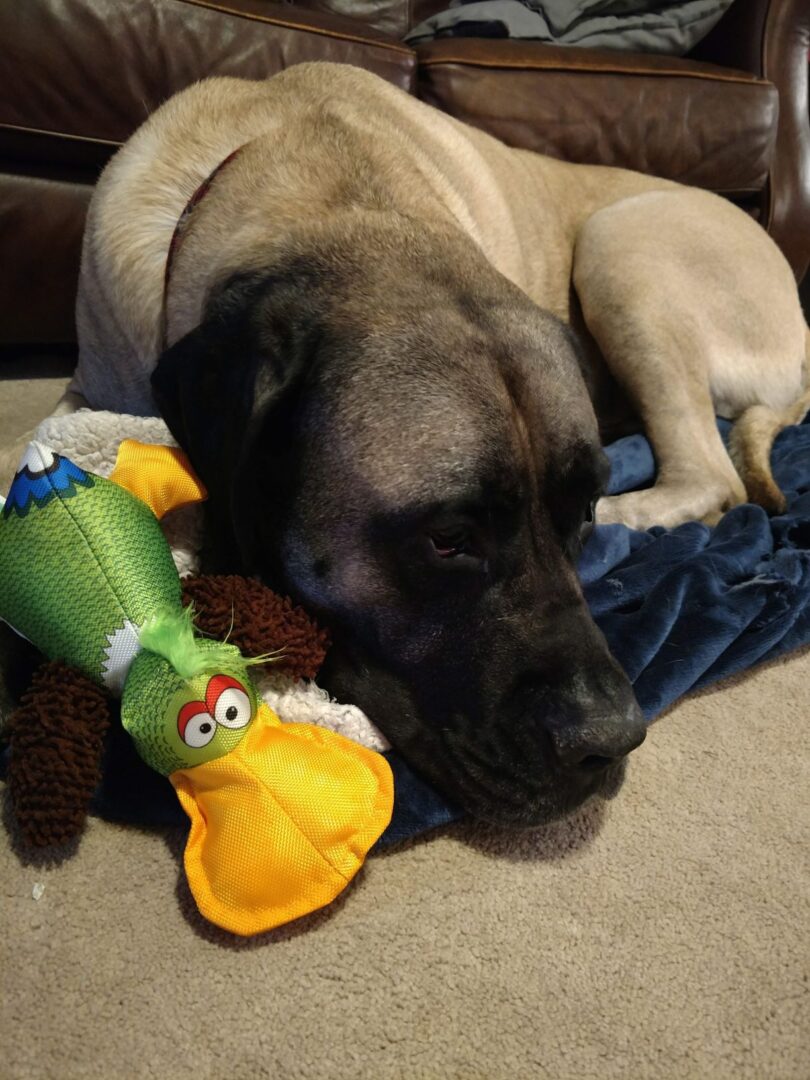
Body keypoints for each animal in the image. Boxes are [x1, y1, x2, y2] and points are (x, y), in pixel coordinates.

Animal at [65, 63, 810, 825]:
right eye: (448, 539)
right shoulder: (89, 389)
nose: (613, 742)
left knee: (714, 476)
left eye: (577, 512)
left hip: (621, 245)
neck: (337, 200)